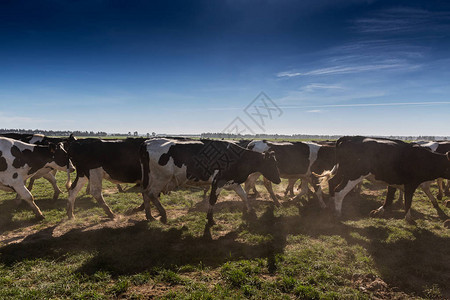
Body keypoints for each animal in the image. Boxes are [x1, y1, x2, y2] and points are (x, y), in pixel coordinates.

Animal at [140, 138, 282, 225]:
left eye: (276, 163)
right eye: (271, 164)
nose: (279, 180)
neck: (237, 157)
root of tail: (148, 142)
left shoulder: (234, 182)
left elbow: (244, 196)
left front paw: (251, 211)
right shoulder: (218, 182)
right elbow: (212, 200)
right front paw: (210, 219)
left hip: (150, 179)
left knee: (145, 193)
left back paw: (149, 216)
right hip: (161, 178)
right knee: (151, 194)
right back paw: (163, 214)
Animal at [316, 136, 450, 223]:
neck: (425, 159)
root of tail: (348, 138)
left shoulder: (394, 181)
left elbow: (389, 198)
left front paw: (378, 211)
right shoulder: (411, 184)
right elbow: (408, 202)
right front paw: (409, 218)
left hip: (342, 172)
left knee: (332, 183)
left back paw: (330, 203)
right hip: (353, 175)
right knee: (339, 192)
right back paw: (338, 213)